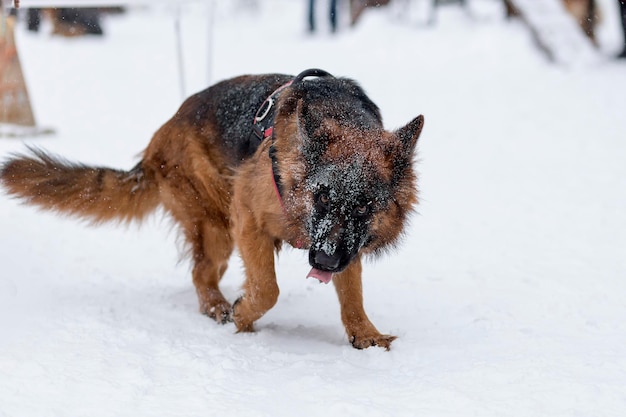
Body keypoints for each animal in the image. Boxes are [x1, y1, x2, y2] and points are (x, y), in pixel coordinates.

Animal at [1, 70, 424, 350]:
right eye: (321, 197)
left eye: (365, 204)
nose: (323, 260)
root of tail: (158, 140)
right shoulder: (249, 219)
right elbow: (267, 288)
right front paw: (244, 314)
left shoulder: (347, 243)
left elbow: (352, 292)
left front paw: (364, 334)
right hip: (218, 228)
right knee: (200, 272)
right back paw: (221, 308)